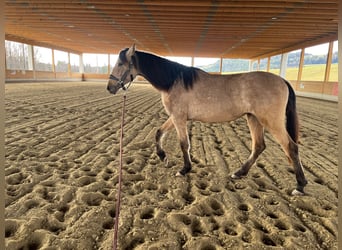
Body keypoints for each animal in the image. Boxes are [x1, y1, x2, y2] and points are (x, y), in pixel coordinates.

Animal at [107, 45, 308, 195]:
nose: (110, 87)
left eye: (120, 63)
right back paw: (239, 173)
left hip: (271, 121)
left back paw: (300, 185)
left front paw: (184, 169)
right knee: (259, 146)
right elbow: (159, 133)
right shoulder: (175, 117)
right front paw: (163, 156)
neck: (174, 81)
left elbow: (184, 144)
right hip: (254, 119)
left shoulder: (179, 118)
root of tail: (282, 81)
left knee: (291, 147)